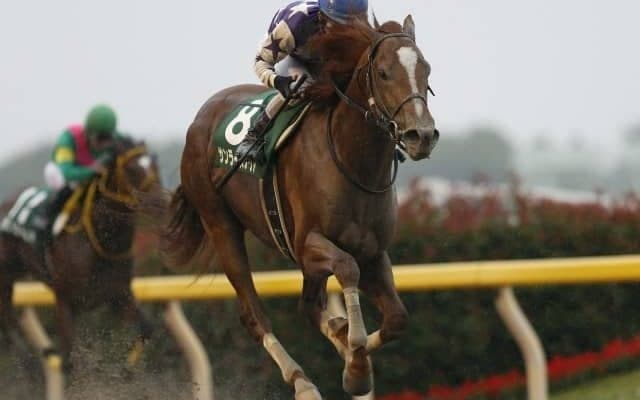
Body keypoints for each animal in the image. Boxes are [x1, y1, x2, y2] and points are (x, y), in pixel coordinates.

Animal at [0, 136, 161, 371]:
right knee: (8, 321)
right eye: (132, 169)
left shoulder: (118, 294)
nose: (160, 202)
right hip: (6, 273)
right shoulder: (65, 299)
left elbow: (146, 328)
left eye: (155, 166)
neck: (99, 244)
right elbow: (67, 358)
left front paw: (126, 370)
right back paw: (31, 365)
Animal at [165, 16, 438, 399]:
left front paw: (353, 358)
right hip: (220, 224)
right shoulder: (307, 243)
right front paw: (355, 361)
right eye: (384, 73)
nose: (422, 136)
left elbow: (397, 318)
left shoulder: (373, 252)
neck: (354, 162)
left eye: (426, 69)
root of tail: (201, 116)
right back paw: (302, 381)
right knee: (254, 314)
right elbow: (347, 267)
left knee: (308, 307)